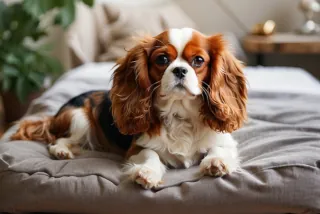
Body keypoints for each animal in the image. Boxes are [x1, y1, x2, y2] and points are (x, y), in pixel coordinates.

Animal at [11, 28, 248, 189]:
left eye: (198, 60)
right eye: (162, 59)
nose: (180, 70)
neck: (180, 113)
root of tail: (55, 115)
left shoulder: (225, 140)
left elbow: (219, 148)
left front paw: (216, 162)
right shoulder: (137, 147)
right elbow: (150, 155)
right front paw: (147, 172)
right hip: (79, 117)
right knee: (58, 139)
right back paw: (62, 150)